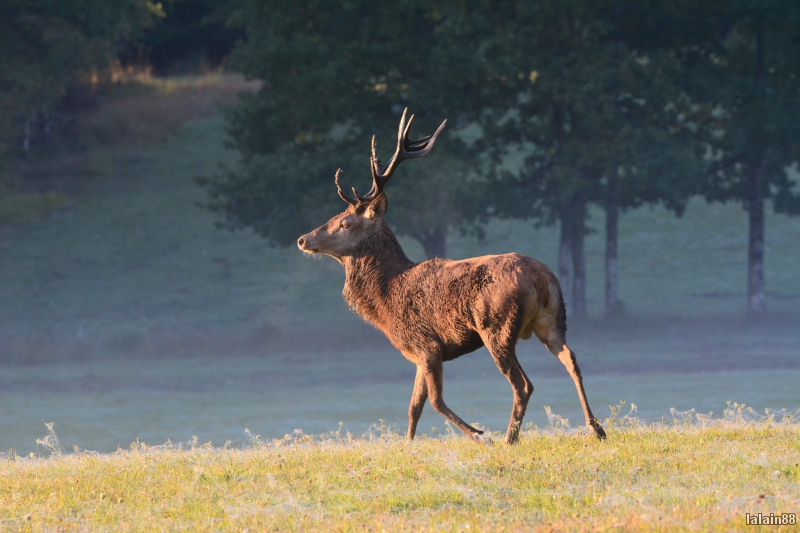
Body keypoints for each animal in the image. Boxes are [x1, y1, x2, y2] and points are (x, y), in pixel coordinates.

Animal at [298, 110, 608, 442]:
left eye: (344, 223)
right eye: (334, 217)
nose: (303, 239)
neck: (385, 300)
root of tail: (542, 279)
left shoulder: (427, 344)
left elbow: (435, 401)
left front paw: (479, 434)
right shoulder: (419, 354)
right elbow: (414, 407)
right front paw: (408, 445)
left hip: (496, 327)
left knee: (523, 384)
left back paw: (508, 439)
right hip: (552, 319)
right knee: (571, 360)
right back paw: (596, 428)